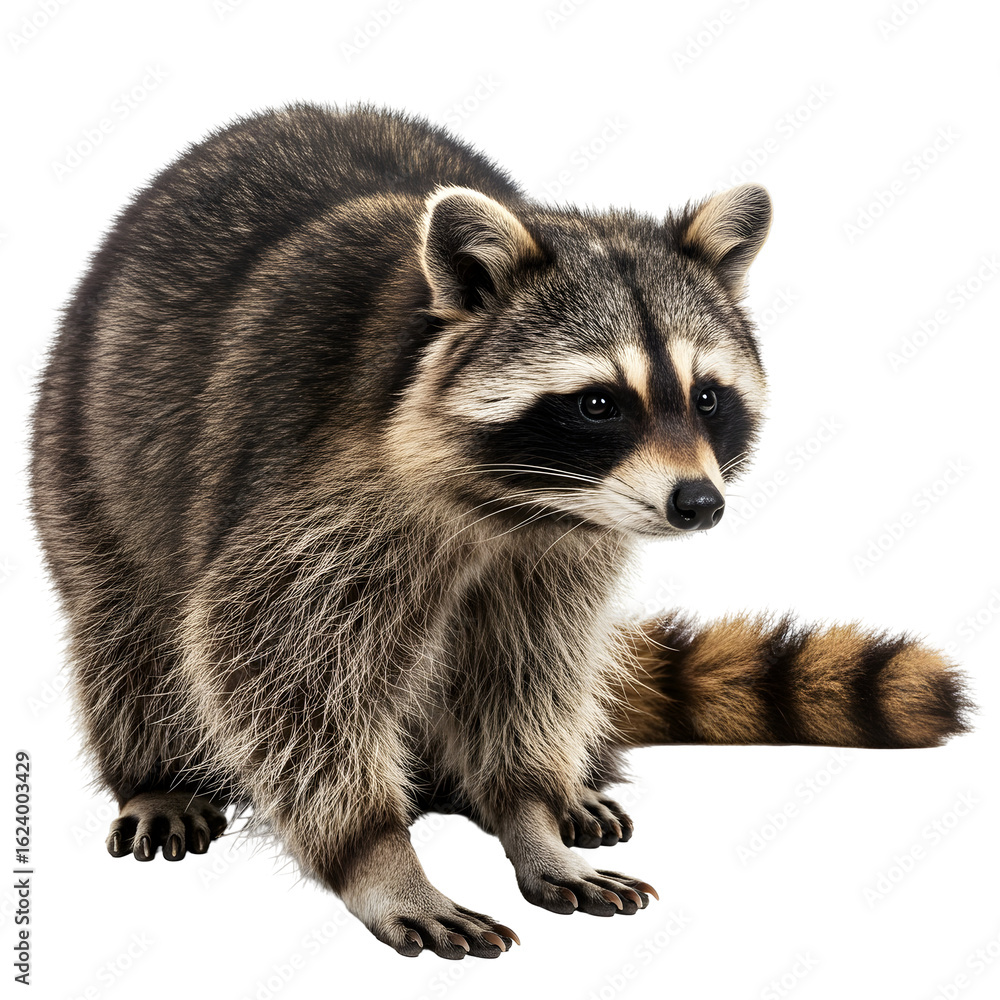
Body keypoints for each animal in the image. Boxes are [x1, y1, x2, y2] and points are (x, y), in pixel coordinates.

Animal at [29, 103, 971, 960]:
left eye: (707, 396)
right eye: (599, 404)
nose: (699, 504)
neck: (511, 504)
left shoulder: (565, 543)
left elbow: (532, 662)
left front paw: (528, 811)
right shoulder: (311, 482)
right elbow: (272, 659)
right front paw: (379, 858)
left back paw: (556, 784)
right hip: (81, 450)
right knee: (130, 629)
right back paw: (152, 772)